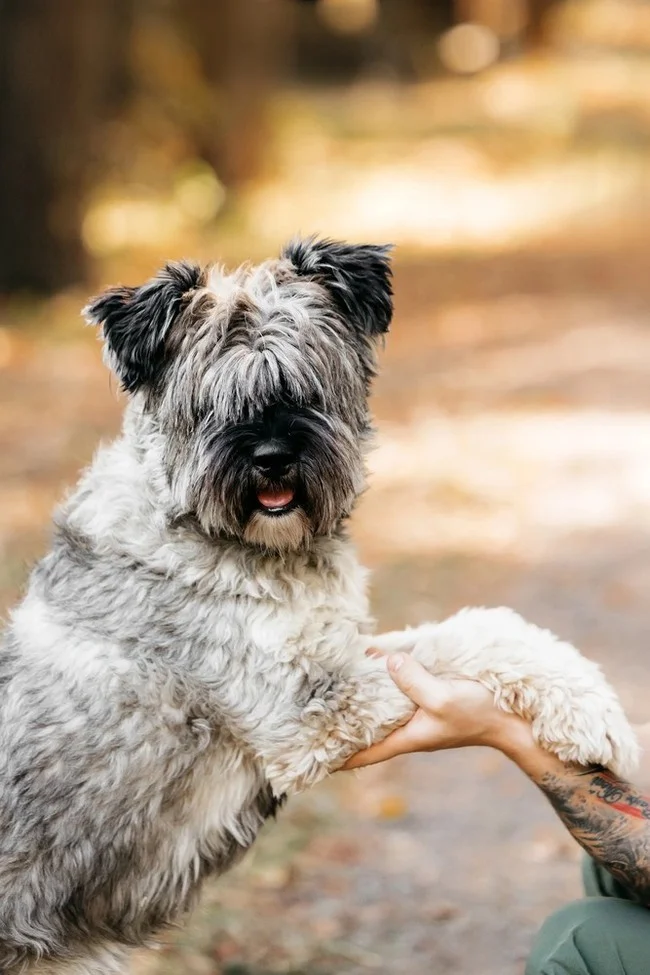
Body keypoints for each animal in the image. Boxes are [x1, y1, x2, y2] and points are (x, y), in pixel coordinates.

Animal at [0, 238, 636, 975]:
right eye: (211, 402)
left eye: (308, 386)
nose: (273, 457)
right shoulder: (307, 709)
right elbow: (456, 649)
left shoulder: (345, 652)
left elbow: (477, 630)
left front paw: (591, 707)